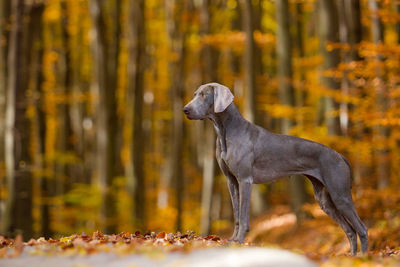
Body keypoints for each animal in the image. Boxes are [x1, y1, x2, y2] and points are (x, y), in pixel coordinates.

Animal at [183, 82, 368, 256]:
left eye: (204, 95)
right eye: (195, 94)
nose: (185, 109)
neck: (225, 130)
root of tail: (340, 156)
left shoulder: (245, 180)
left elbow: (243, 215)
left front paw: (240, 240)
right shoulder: (232, 181)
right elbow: (236, 214)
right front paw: (233, 240)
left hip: (340, 195)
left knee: (362, 228)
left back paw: (363, 257)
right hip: (324, 201)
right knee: (350, 230)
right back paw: (352, 256)